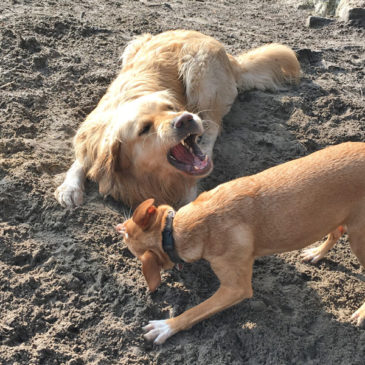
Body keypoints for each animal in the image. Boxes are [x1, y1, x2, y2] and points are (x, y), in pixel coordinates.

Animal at [54, 29, 298, 208]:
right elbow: (80, 161)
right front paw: (70, 188)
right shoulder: (89, 140)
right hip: (135, 45)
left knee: (212, 126)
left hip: (200, 71)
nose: (185, 118)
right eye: (144, 129)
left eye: (170, 108)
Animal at [116, 141, 364, 342]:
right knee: (337, 230)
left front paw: (167, 326)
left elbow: (196, 310)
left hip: (359, 238)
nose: (118, 227)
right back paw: (317, 253)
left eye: (128, 239)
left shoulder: (236, 288)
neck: (175, 230)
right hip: (338, 216)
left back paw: (361, 313)